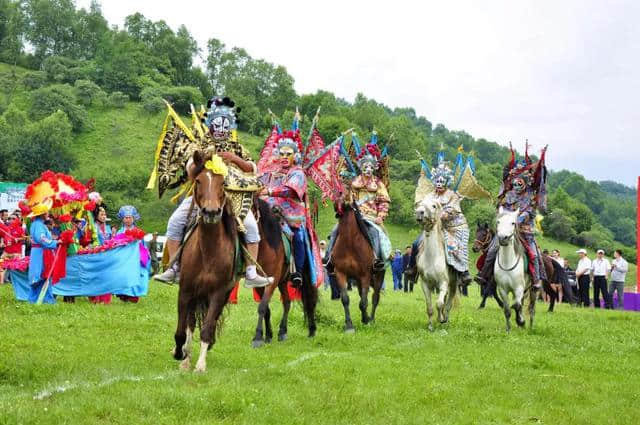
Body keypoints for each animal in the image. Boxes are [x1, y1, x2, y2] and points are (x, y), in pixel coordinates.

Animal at [172, 152, 238, 372]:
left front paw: (200, 366)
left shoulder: (218, 293)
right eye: (199, 181)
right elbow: (182, 330)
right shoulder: (185, 290)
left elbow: (208, 328)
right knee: (190, 323)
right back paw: (185, 358)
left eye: (223, 182)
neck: (208, 252)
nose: (211, 212)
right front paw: (180, 353)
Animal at [252, 197, 318, 346]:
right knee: (287, 302)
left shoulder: (272, 280)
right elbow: (266, 309)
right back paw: (282, 331)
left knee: (309, 300)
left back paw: (312, 330)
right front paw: (268, 335)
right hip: (282, 281)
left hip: (304, 276)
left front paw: (257, 337)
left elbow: (262, 307)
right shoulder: (259, 283)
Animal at [332, 200, 382, 332]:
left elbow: (364, 302)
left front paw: (366, 320)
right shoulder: (340, 273)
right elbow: (345, 299)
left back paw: (371, 319)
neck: (350, 242)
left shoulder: (366, 274)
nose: (337, 206)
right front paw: (349, 325)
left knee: (375, 298)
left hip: (378, 276)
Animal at [416, 195, 460, 332]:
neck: (432, 258)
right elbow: (429, 307)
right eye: (419, 203)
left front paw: (441, 319)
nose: (419, 212)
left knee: (448, 304)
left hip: (453, 284)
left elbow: (439, 304)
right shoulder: (425, 284)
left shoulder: (443, 283)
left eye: (434, 206)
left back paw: (445, 320)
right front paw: (430, 326)